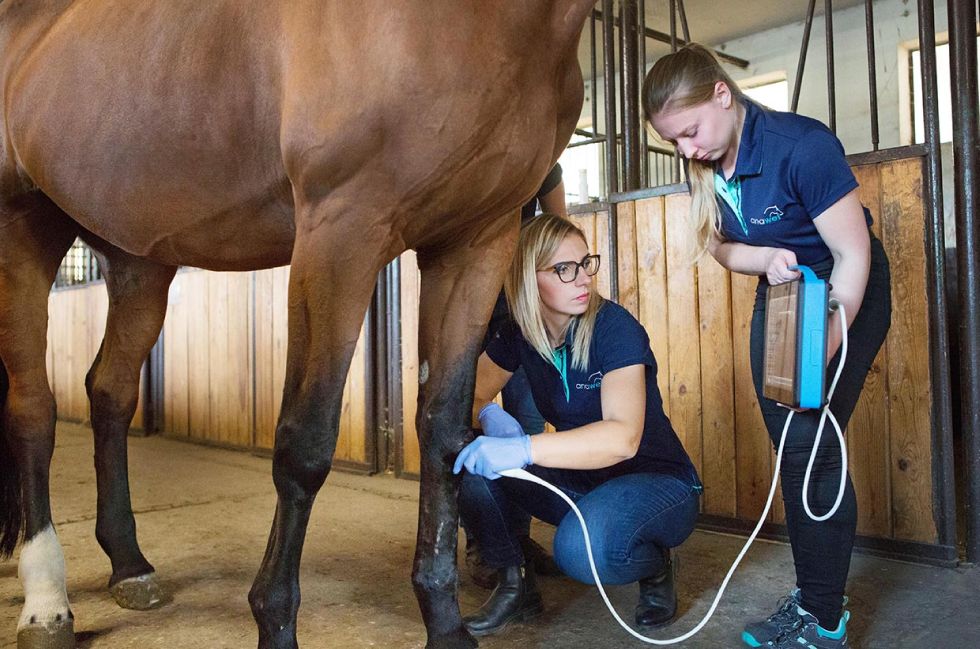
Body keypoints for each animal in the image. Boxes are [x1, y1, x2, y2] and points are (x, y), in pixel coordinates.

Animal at [0, 1, 592, 648]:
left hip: (138, 261)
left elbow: (443, 437)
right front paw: (275, 620)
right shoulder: (341, 232)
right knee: (33, 410)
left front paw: (445, 626)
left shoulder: (475, 242)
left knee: (108, 392)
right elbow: (304, 445)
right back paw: (46, 603)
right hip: (22, 229)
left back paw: (129, 565)